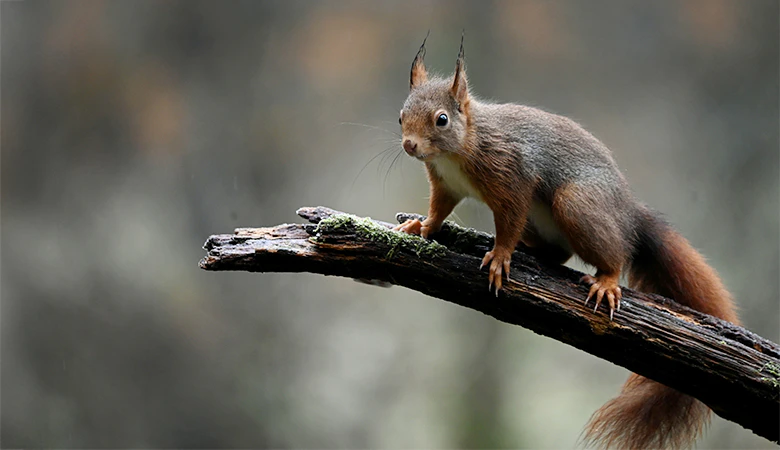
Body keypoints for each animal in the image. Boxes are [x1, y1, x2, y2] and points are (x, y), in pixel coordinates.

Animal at [393, 34, 740, 449]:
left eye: (441, 119)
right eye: (400, 115)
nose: (409, 145)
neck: (461, 147)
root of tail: (628, 213)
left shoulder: (512, 177)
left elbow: (508, 220)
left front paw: (501, 256)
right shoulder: (445, 184)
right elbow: (439, 210)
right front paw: (421, 225)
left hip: (576, 205)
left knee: (614, 253)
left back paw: (606, 280)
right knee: (558, 252)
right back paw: (532, 251)